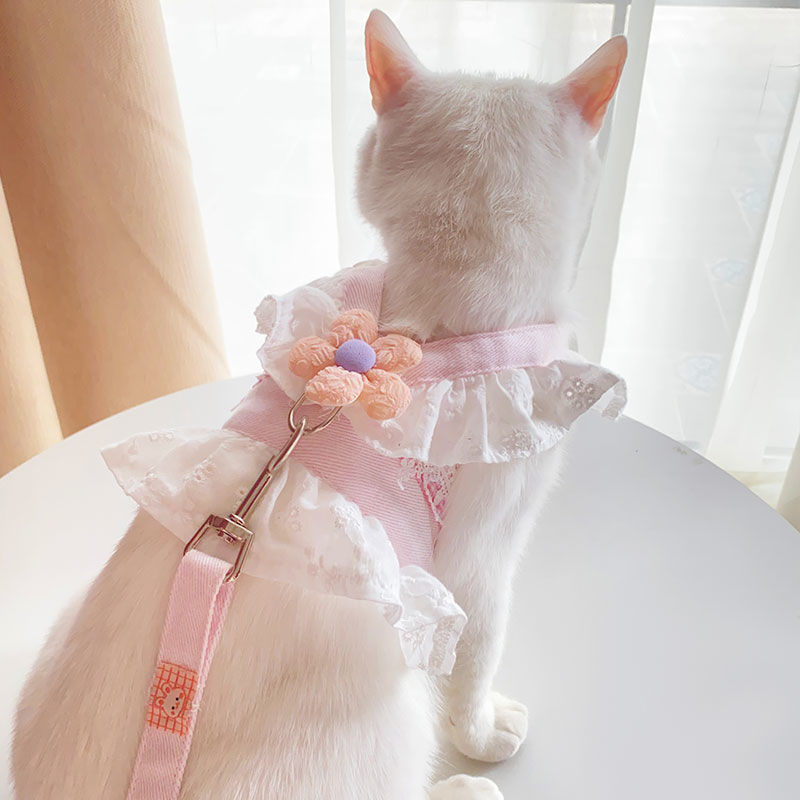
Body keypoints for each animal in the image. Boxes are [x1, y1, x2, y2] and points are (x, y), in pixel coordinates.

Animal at [12, 9, 626, 799]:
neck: (429, 321)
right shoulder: (481, 561)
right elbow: (477, 659)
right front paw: (487, 733)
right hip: (390, 714)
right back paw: (465, 787)